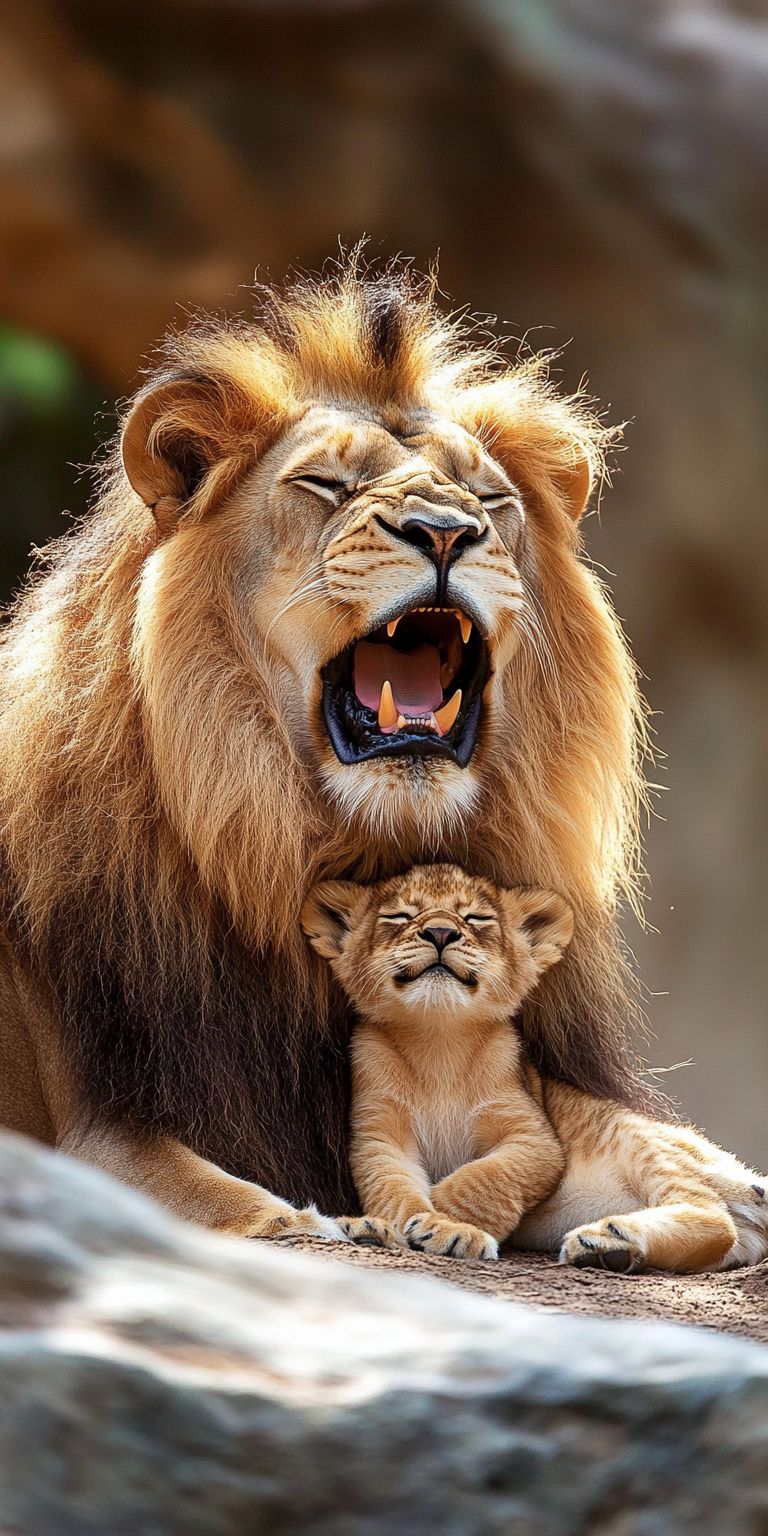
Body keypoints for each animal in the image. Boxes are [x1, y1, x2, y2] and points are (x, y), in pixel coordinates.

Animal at [0, 256, 670, 1238]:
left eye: (492, 500)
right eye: (325, 485)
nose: (446, 531)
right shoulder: (98, 1129)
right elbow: (231, 1202)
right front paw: (306, 1221)